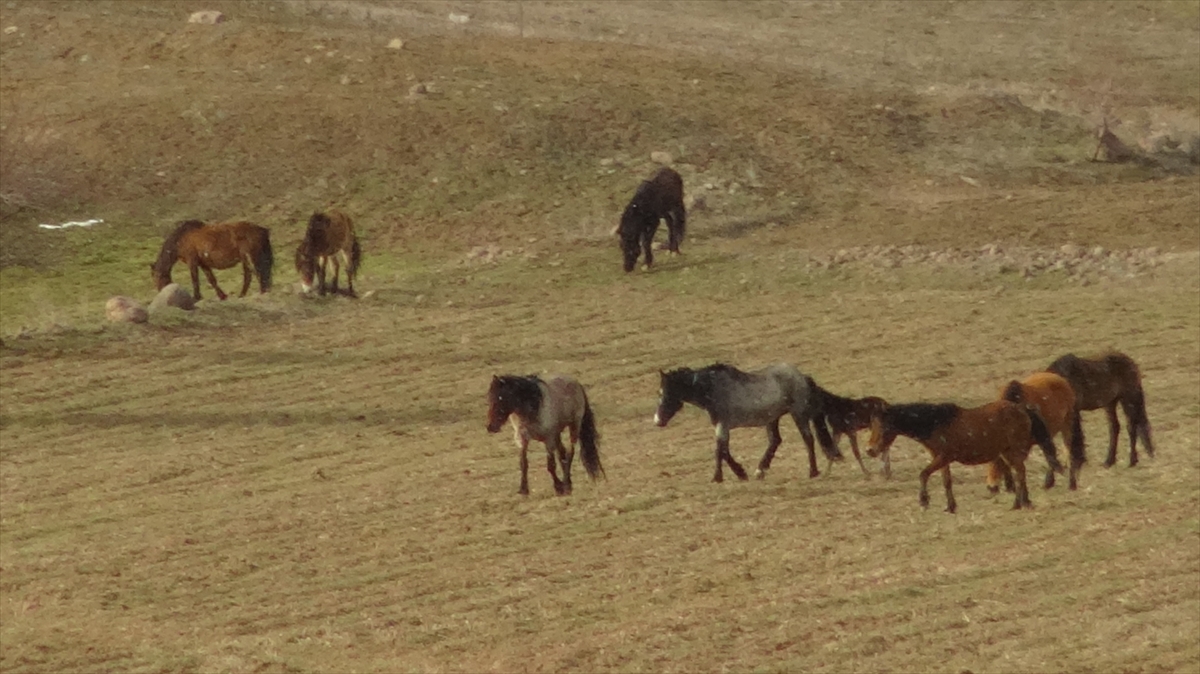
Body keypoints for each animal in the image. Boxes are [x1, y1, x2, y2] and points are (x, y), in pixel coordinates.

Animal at [653, 363, 842, 483]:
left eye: (666, 393)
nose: (658, 421)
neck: (711, 388)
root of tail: (802, 377)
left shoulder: (723, 425)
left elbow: (719, 451)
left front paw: (719, 477)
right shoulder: (722, 427)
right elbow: (724, 451)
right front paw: (739, 473)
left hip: (798, 414)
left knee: (808, 439)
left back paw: (812, 472)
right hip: (772, 419)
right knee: (775, 440)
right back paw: (760, 470)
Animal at [866, 398, 1064, 513]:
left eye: (883, 426)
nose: (870, 450)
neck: (936, 423)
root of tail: (1023, 409)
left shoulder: (943, 457)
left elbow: (923, 474)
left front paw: (924, 501)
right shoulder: (941, 459)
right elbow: (946, 482)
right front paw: (950, 507)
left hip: (1014, 451)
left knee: (1020, 474)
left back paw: (1019, 503)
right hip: (1008, 452)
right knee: (1019, 473)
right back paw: (1022, 502)